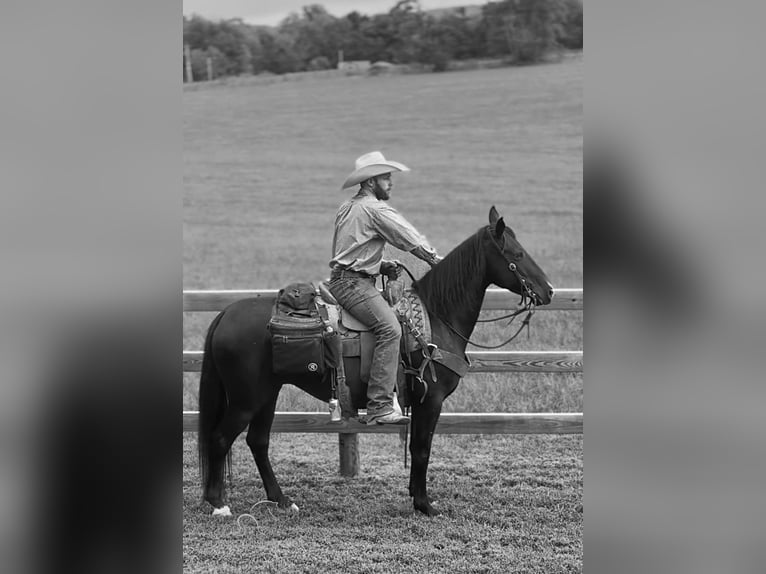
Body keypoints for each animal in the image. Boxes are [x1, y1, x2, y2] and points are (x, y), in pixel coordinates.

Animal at [198, 206, 556, 516]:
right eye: (517, 255)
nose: (548, 290)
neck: (437, 317)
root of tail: (225, 314)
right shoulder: (431, 400)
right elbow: (422, 449)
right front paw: (425, 505)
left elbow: (416, 448)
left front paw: (416, 496)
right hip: (246, 399)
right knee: (220, 438)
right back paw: (218, 504)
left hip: (266, 395)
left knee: (257, 441)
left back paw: (282, 500)